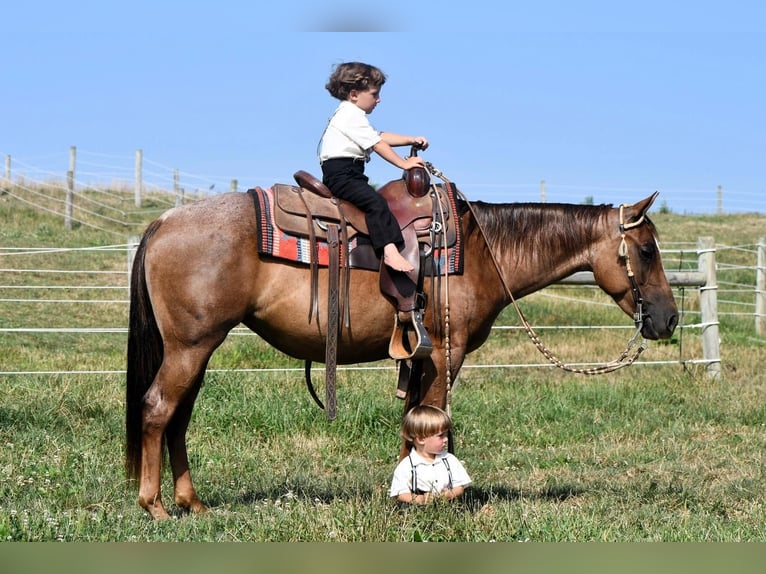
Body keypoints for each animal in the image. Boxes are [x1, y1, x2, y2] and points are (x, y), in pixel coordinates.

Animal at [124, 178, 680, 520]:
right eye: (646, 250)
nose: (669, 318)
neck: (481, 251)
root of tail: (163, 222)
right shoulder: (446, 353)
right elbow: (435, 418)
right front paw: (437, 496)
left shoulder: (419, 358)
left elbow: (412, 419)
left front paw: (408, 492)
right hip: (190, 347)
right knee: (157, 409)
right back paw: (154, 505)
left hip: (197, 349)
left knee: (179, 417)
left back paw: (191, 503)